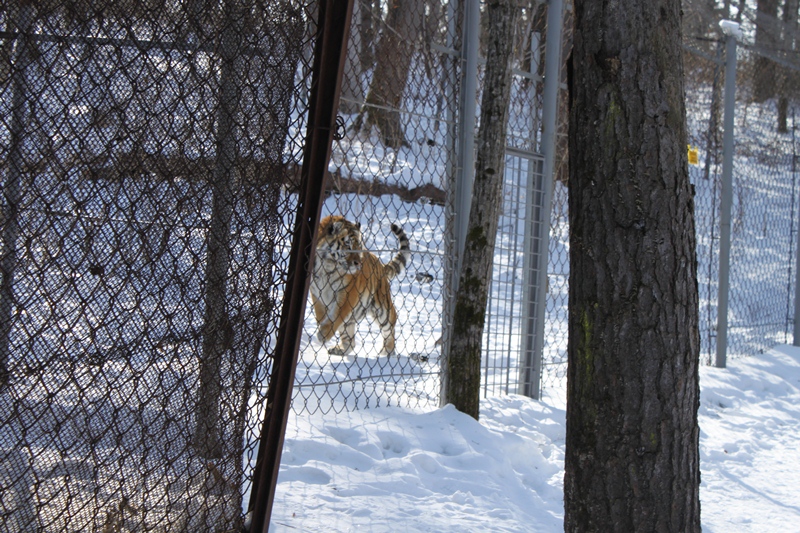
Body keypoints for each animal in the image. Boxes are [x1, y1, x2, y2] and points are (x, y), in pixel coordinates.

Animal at [310, 214, 410, 356]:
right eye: (348, 244)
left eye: (359, 245)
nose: (358, 263)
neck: (326, 265)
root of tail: (380, 265)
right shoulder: (316, 291)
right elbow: (320, 313)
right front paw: (322, 325)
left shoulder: (348, 293)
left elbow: (337, 314)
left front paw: (324, 333)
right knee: (350, 340)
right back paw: (340, 349)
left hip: (383, 309)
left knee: (390, 325)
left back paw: (387, 351)